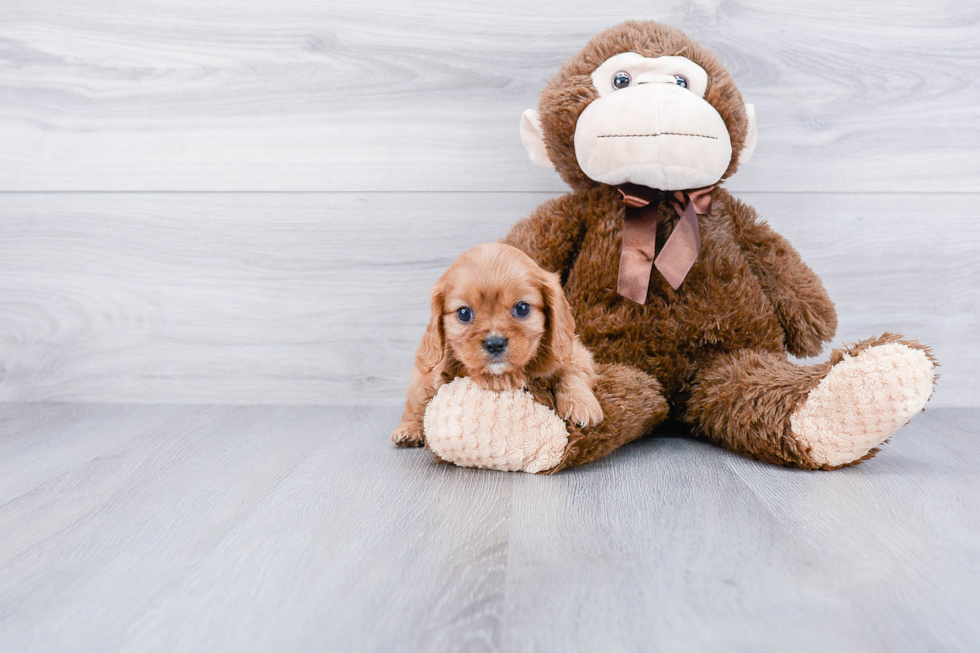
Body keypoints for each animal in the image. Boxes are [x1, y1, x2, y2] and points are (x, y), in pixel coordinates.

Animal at [392, 242, 604, 446]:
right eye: (464, 313)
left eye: (522, 308)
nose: (495, 343)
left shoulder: (575, 353)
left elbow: (571, 373)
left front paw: (581, 406)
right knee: (415, 405)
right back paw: (408, 430)